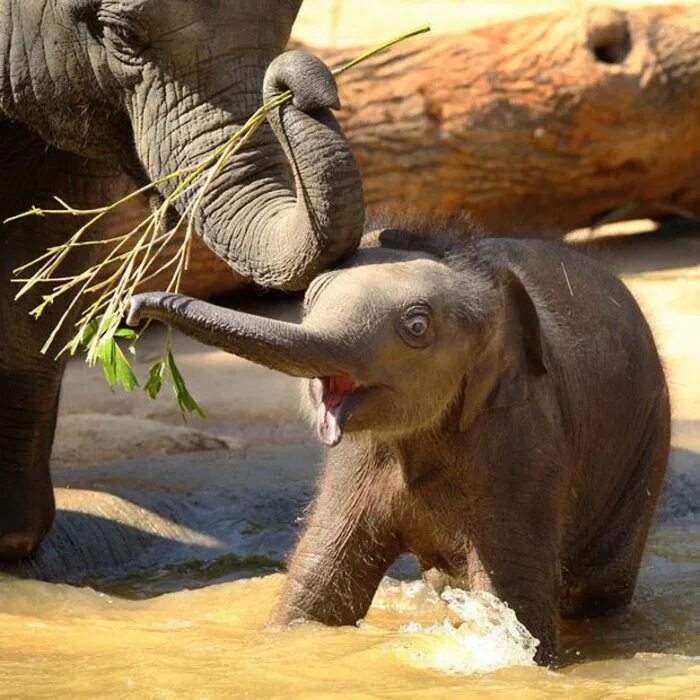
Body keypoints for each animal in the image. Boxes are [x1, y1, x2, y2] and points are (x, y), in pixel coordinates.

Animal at [129, 223, 668, 660]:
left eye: (416, 326)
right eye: (311, 298)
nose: (134, 307)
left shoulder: (524, 445)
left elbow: (514, 599)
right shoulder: (356, 460)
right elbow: (322, 584)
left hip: (646, 446)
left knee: (595, 589)